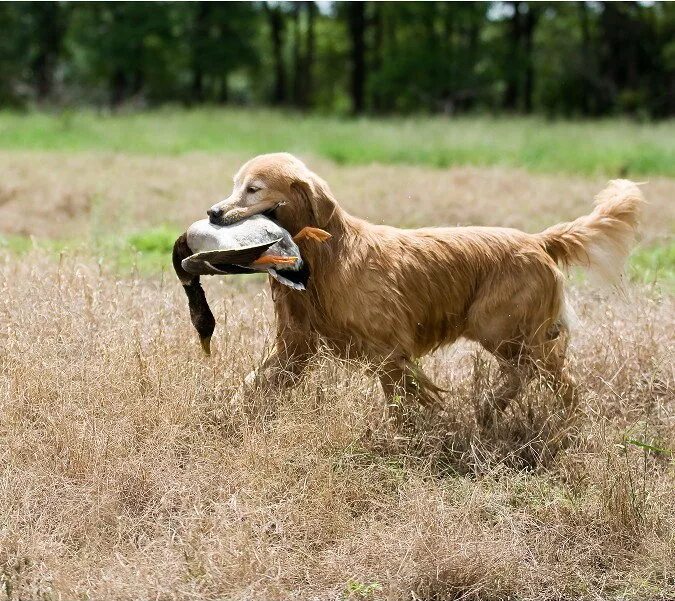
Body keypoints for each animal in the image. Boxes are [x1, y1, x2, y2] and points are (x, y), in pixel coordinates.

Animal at [184, 152, 644, 420]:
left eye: (253, 189)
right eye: (234, 185)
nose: (213, 212)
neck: (326, 257)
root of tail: (539, 240)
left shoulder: (389, 348)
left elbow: (401, 395)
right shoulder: (295, 345)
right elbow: (254, 383)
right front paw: (225, 413)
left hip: (499, 325)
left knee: (549, 375)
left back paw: (556, 420)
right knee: (528, 374)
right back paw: (489, 410)